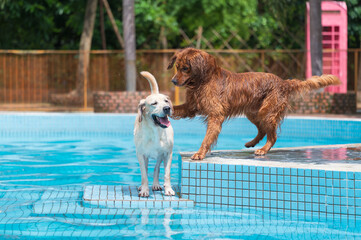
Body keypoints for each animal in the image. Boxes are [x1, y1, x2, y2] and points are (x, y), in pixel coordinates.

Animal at [167, 47, 338, 159]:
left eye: (185, 68)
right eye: (177, 67)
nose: (173, 81)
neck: (203, 81)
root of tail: (284, 82)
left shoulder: (216, 115)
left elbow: (207, 138)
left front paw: (200, 153)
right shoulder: (191, 107)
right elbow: (176, 109)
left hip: (267, 111)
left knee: (273, 136)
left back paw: (263, 149)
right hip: (253, 113)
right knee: (262, 130)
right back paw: (251, 143)